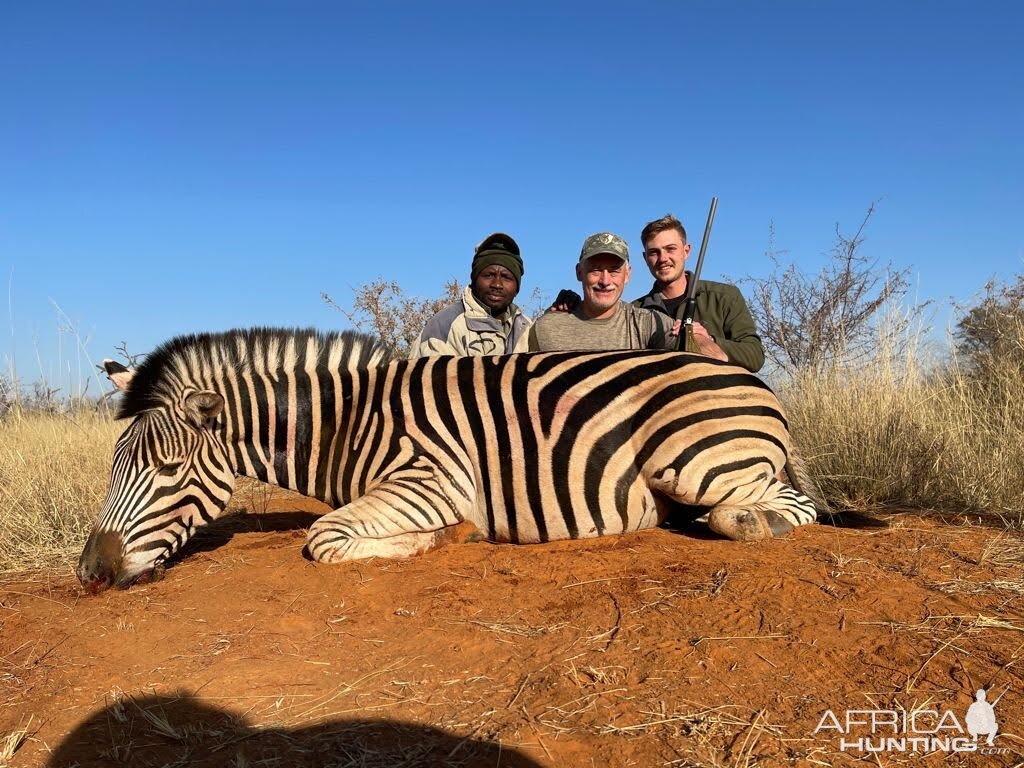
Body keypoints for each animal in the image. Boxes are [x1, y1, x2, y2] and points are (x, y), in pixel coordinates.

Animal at [75, 327, 819, 593]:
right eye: (114, 468)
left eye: (167, 471)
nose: (90, 572)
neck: (347, 421)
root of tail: (757, 382)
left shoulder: (429, 480)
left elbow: (324, 537)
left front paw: (440, 540)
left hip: (690, 463)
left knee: (785, 506)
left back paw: (750, 524)